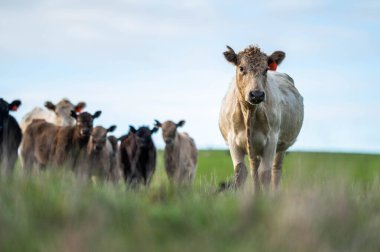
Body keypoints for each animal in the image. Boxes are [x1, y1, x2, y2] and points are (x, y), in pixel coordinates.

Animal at [218, 45, 304, 191]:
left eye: (266, 69)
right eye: (241, 68)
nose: (256, 94)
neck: (249, 112)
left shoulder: (271, 140)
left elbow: (265, 174)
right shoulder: (233, 141)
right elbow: (241, 172)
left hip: (281, 146)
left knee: (275, 170)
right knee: (254, 169)